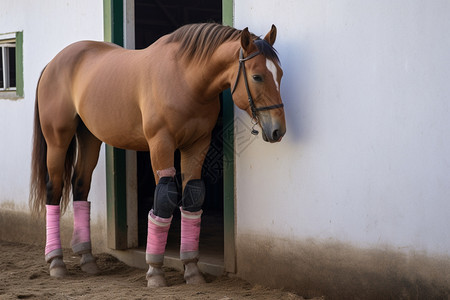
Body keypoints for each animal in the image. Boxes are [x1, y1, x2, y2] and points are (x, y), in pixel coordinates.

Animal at [29, 22, 286, 286]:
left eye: (280, 74)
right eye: (257, 76)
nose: (278, 130)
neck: (185, 79)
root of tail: (53, 63)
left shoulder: (197, 144)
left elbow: (193, 196)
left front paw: (192, 269)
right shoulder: (160, 144)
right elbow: (165, 198)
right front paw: (155, 271)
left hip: (89, 136)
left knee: (81, 184)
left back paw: (87, 259)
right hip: (57, 139)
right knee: (54, 187)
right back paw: (56, 262)